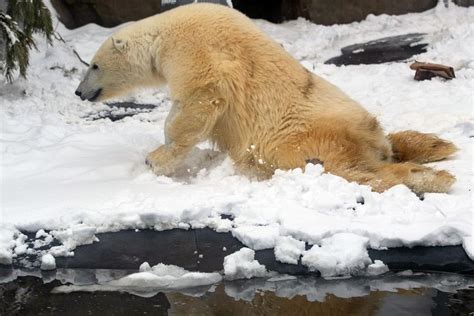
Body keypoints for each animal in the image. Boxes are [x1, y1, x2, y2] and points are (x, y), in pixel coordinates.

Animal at [76, 3, 458, 194]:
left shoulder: (194, 50)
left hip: (304, 137)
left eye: (93, 65)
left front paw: (156, 159)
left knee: (346, 170)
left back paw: (428, 178)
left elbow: (195, 103)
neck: (163, 33)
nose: (79, 91)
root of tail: (372, 138)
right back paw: (436, 147)